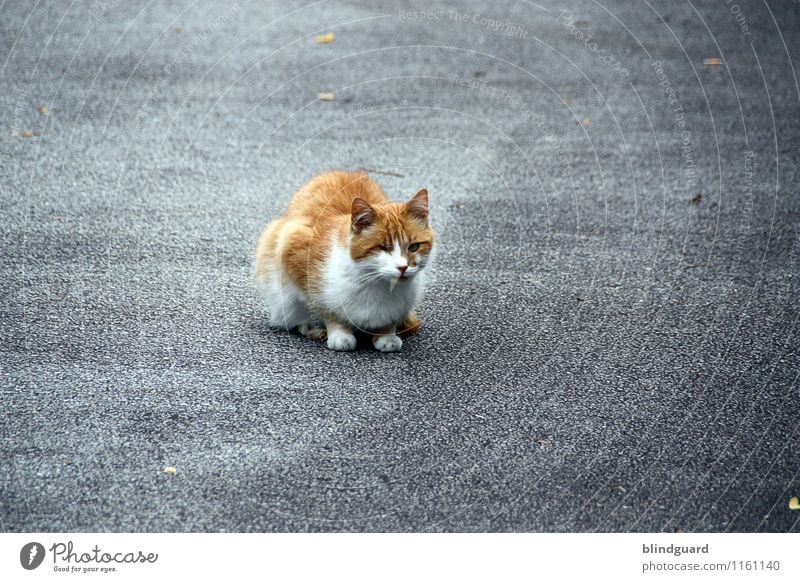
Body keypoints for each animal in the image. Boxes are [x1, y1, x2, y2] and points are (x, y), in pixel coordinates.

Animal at [253, 169, 434, 352]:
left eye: (413, 247)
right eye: (383, 247)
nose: (403, 267)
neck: (375, 283)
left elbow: (390, 319)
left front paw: (387, 335)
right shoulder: (296, 251)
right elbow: (328, 309)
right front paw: (340, 334)